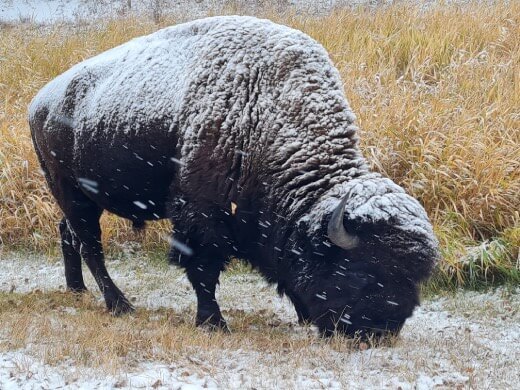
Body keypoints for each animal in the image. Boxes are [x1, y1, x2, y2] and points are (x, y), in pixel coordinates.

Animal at [29, 15, 438, 338]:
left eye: (415, 279)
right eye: (366, 272)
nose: (381, 332)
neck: (263, 109)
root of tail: (40, 102)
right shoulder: (202, 215)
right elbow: (204, 269)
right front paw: (213, 323)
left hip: (81, 199)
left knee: (69, 234)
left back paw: (77, 290)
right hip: (73, 193)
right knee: (90, 245)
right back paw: (119, 304)